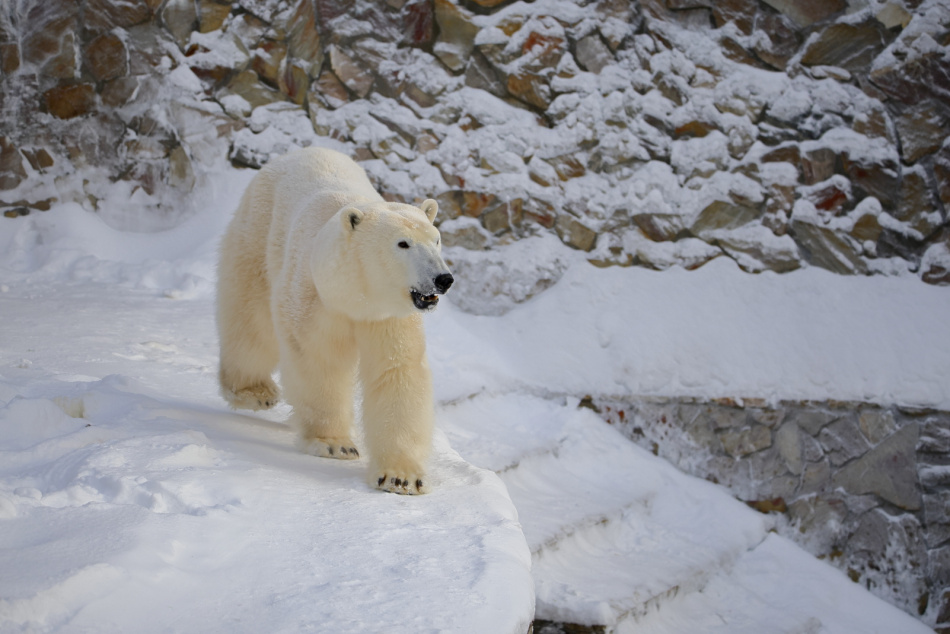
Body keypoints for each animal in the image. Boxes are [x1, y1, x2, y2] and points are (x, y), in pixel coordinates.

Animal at [216, 146, 454, 492]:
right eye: (403, 243)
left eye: (436, 239)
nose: (442, 279)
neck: (353, 294)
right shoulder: (314, 299)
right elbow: (319, 360)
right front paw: (333, 444)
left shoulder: (387, 317)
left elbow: (395, 372)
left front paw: (401, 477)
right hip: (257, 231)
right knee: (251, 315)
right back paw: (254, 392)